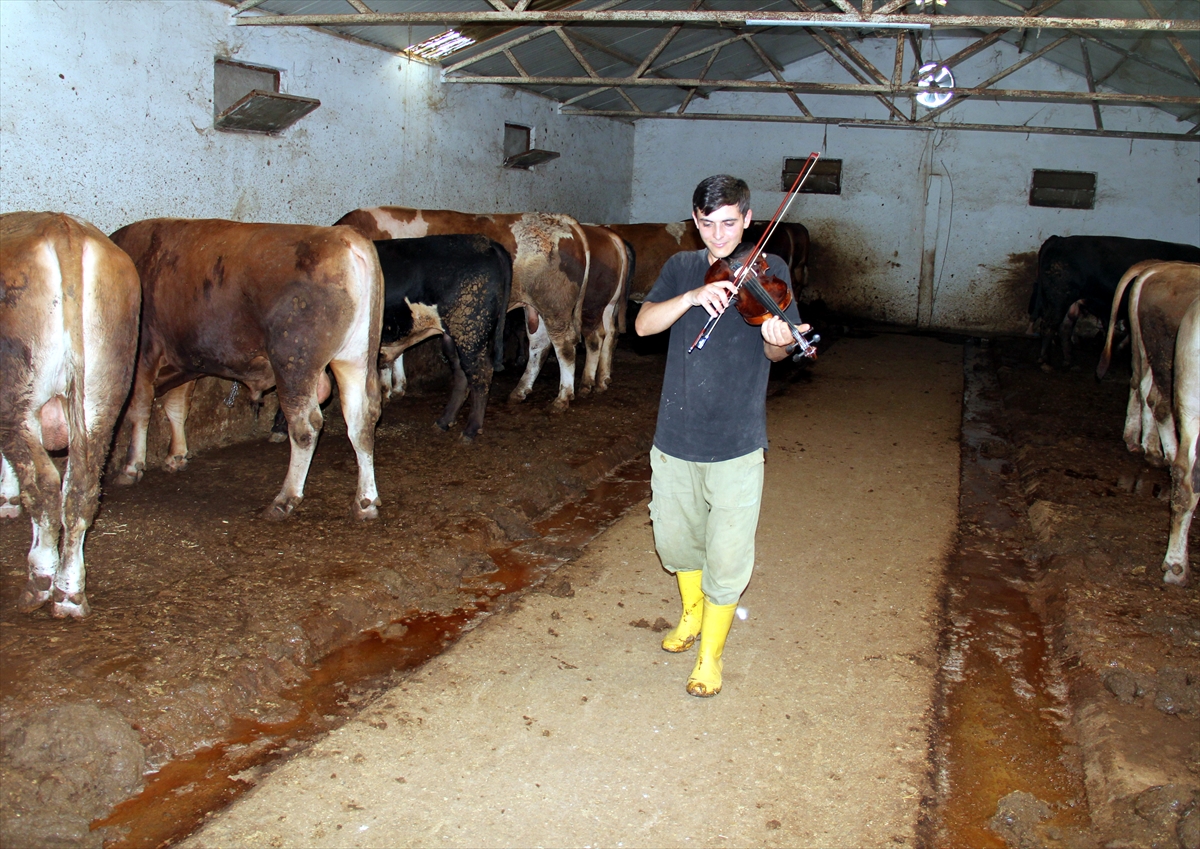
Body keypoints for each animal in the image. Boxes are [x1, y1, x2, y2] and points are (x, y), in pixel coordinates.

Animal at [0, 212, 141, 618]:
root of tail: (62, 227)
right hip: (101, 396)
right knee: (80, 490)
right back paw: (69, 594)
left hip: (16, 398)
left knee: (45, 485)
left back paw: (40, 583)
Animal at [108, 217, 381, 522]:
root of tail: (343, 236)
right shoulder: (184, 359)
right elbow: (176, 408)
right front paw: (175, 456)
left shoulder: (144, 354)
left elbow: (139, 410)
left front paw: (132, 466)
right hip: (354, 358)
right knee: (362, 420)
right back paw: (365, 502)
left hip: (293, 363)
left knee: (306, 427)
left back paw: (285, 499)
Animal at [338, 208, 590, 414]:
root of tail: (560, 219)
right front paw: (396, 387)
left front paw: (387, 389)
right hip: (535, 308)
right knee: (539, 345)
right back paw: (520, 391)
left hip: (555, 306)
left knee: (564, 346)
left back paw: (563, 397)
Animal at [576, 224, 633, 400]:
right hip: (610, 304)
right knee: (611, 332)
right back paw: (603, 380)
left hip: (591, 304)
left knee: (595, 338)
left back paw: (586, 384)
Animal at [1027, 235, 1200, 366]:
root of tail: (1059, 239)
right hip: (1059, 298)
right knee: (1049, 325)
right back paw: (1045, 360)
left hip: (1071, 302)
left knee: (1064, 328)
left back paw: (1069, 360)